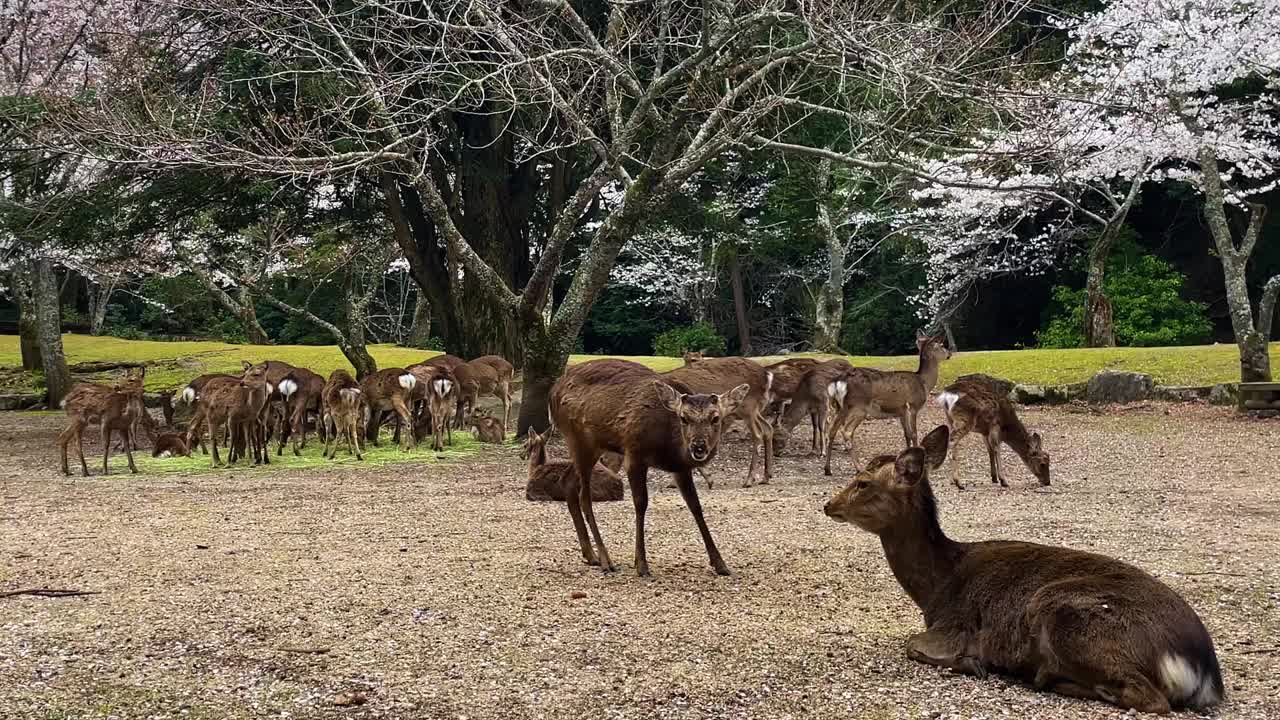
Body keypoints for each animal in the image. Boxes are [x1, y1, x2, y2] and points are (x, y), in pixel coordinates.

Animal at [545, 358, 747, 576]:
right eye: (684, 418)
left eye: (715, 418)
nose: (698, 446)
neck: (668, 446)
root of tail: (552, 393)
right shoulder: (634, 454)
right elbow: (641, 503)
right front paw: (641, 564)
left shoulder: (681, 468)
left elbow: (695, 505)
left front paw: (720, 563)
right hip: (578, 438)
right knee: (584, 496)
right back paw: (606, 559)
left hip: (592, 447)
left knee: (567, 481)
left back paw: (591, 555)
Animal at [665, 356, 773, 484]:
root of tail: (767, 375)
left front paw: (708, 478)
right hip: (751, 409)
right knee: (768, 428)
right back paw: (766, 476)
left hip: (747, 406)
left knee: (758, 433)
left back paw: (749, 479)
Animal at [819, 327, 952, 474]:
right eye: (942, 345)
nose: (949, 354)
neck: (924, 383)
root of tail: (839, 381)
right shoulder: (913, 406)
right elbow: (914, 434)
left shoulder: (901, 411)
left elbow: (906, 434)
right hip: (858, 406)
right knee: (846, 431)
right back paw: (859, 468)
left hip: (840, 407)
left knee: (832, 430)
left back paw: (827, 469)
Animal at [824, 425, 1223, 712]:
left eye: (862, 483)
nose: (828, 504)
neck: (935, 590)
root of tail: (1202, 668)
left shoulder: (956, 624)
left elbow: (913, 644)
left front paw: (973, 663)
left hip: (1062, 610)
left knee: (1151, 699)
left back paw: (1047, 677)